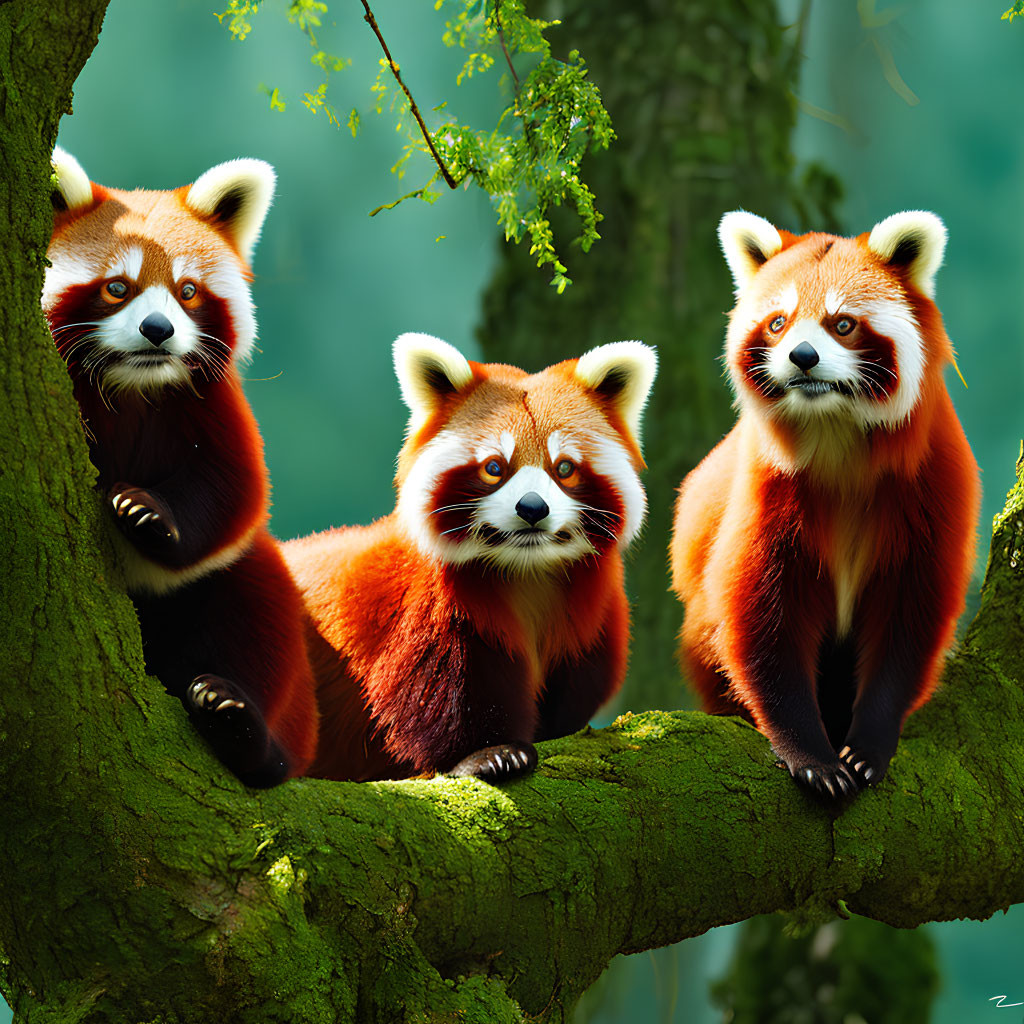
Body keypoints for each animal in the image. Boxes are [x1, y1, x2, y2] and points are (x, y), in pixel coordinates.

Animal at [44, 148, 317, 786]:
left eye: (187, 291)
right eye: (118, 287)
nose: (158, 330)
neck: (132, 384)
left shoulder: (208, 403)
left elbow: (232, 492)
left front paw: (145, 514)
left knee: (257, 614)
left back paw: (240, 726)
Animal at [280, 331, 655, 778]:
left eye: (564, 468)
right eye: (494, 468)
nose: (532, 508)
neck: (527, 571)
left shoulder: (592, 617)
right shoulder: (433, 610)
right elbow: (442, 695)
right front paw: (487, 753)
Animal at [667, 207, 978, 798]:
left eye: (842, 324)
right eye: (779, 323)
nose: (802, 358)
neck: (835, 430)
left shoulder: (932, 482)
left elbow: (909, 621)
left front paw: (869, 746)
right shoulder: (767, 487)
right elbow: (760, 619)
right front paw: (811, 756)